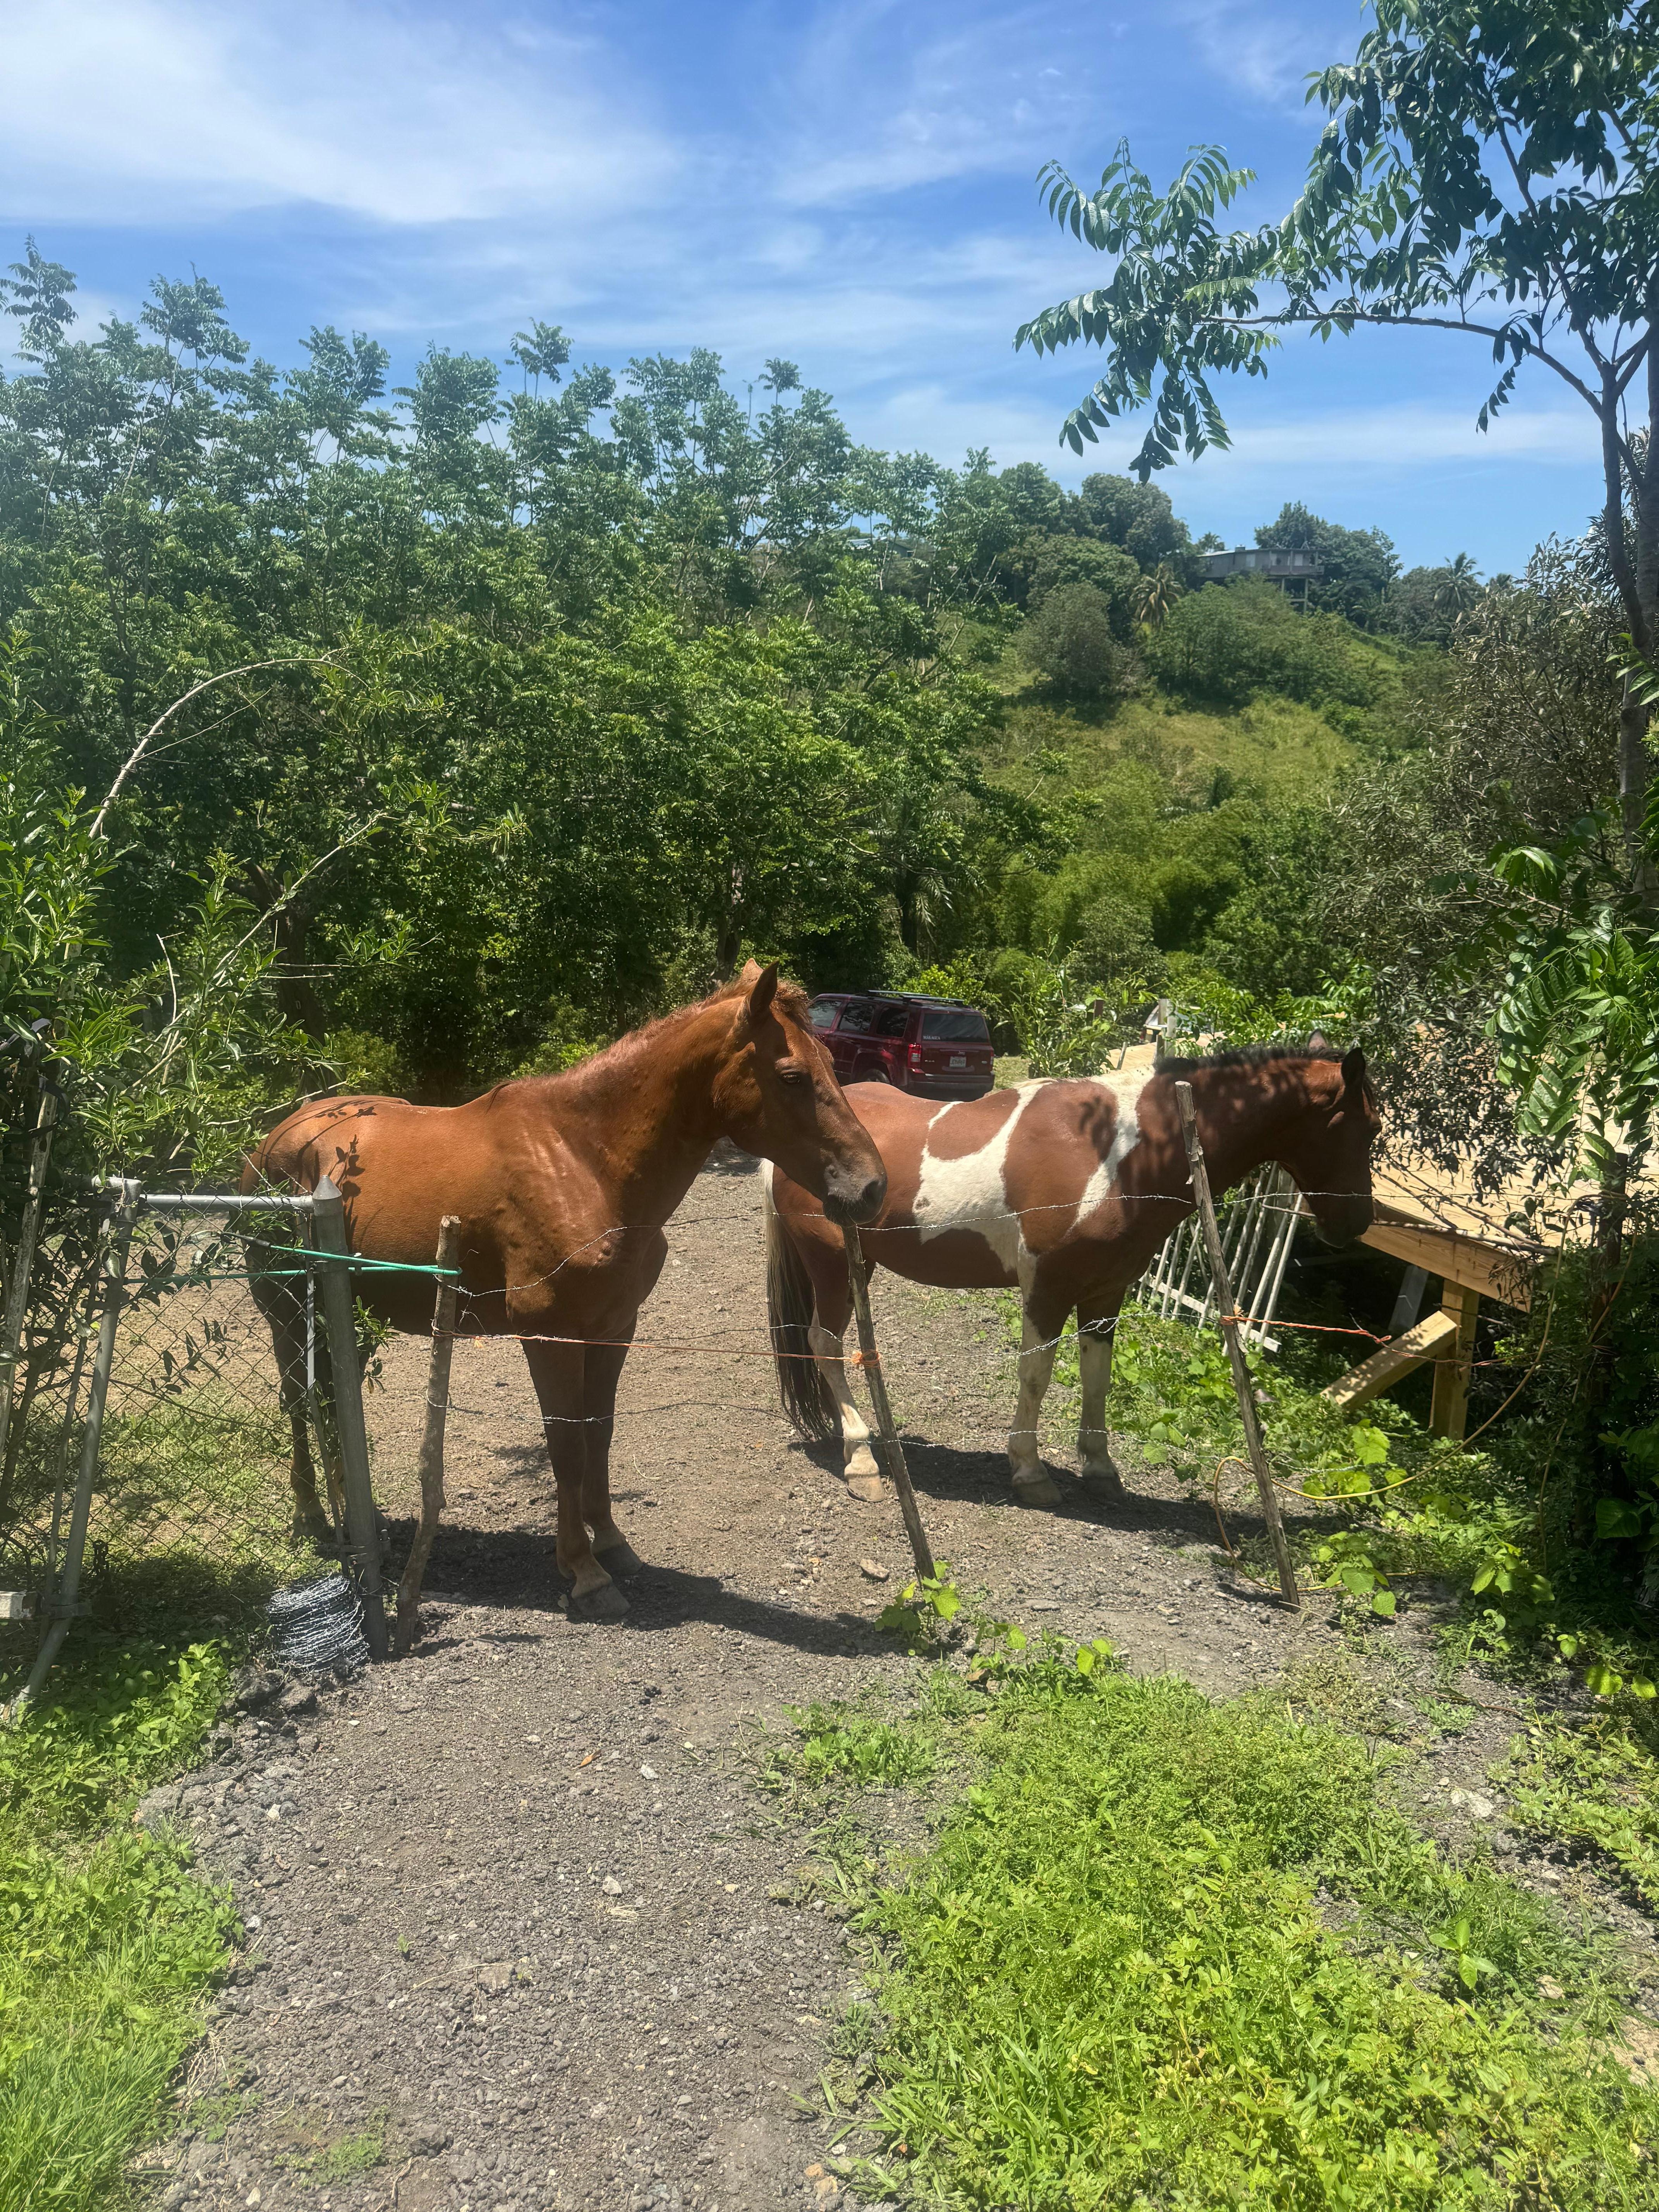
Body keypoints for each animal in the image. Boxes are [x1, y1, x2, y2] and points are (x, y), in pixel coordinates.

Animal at [245, 963, 887, 1617]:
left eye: (830, 1066)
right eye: (793, 1076)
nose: (871, 1188)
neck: (584, 1163)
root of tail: (275, 1142)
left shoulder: (613, 1331)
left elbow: (598, 1435)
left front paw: (612, 1542)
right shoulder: (549, 1337)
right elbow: (566, 1447)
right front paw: (583, 1570)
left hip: (353, 1318)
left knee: (330, 1401)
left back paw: (361, 1520)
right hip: (287, 1316)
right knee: (298, 1401)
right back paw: (314, 1519)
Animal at [764, 1048, 1379, 1506]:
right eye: (1369, 1127)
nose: (1357, 1224)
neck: (1116, 1151)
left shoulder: (1106, 1293)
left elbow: (1096, 1379)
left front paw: (1100, 1467)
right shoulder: (1048, 1289)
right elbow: (1036, 1377)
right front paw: (1030, 1471)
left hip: (857, 1265)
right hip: (830, 1266)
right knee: (825, 1345)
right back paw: (862, 1457)